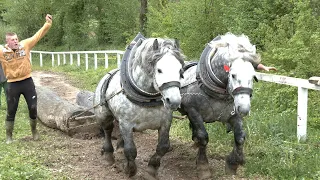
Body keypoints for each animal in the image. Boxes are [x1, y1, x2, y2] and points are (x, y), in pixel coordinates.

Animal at [94, 34, 185, 177]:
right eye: (159, 70)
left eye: (180, 70)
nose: (174, 101)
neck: (147, 100)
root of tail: (106, 76)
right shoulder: (126, 124)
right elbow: (131, 150)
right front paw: (130, 170)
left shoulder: (165, 123)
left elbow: (163, 146)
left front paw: (152, 168)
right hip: (104, 115)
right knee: (107, 131)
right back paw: (108, 155)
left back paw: (119, 149)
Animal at [179, 33, 258, 179]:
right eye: (233, 75)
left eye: (253, 76)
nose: (244, 109)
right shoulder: (193, 111)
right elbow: (203, 137)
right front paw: (203, 167)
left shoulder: (234, 114)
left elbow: (240, 137)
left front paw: (233, 163)